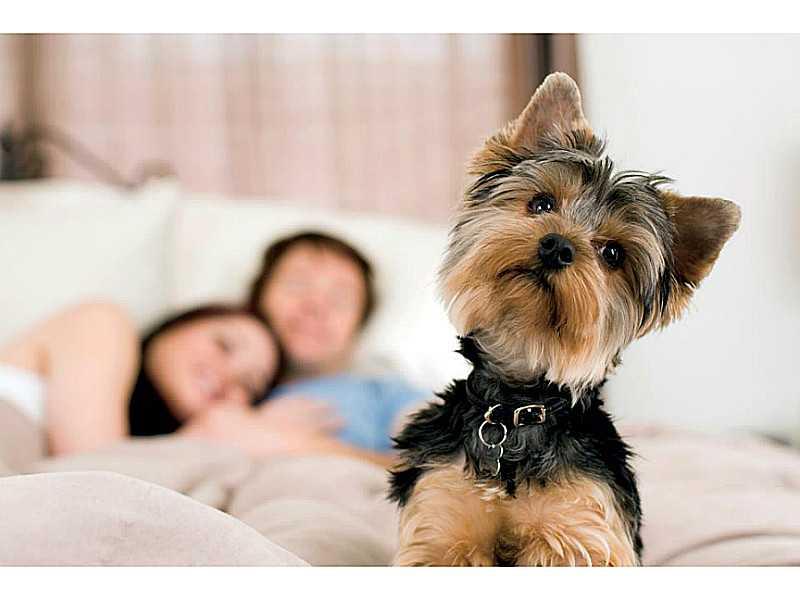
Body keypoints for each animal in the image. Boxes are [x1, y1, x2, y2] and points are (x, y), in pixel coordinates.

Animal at [388, 72, 740, 566]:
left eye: (612, 254)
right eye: (541, 204)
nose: (557, 245)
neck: (516, 412)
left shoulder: (581, 523)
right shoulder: (440, 506)